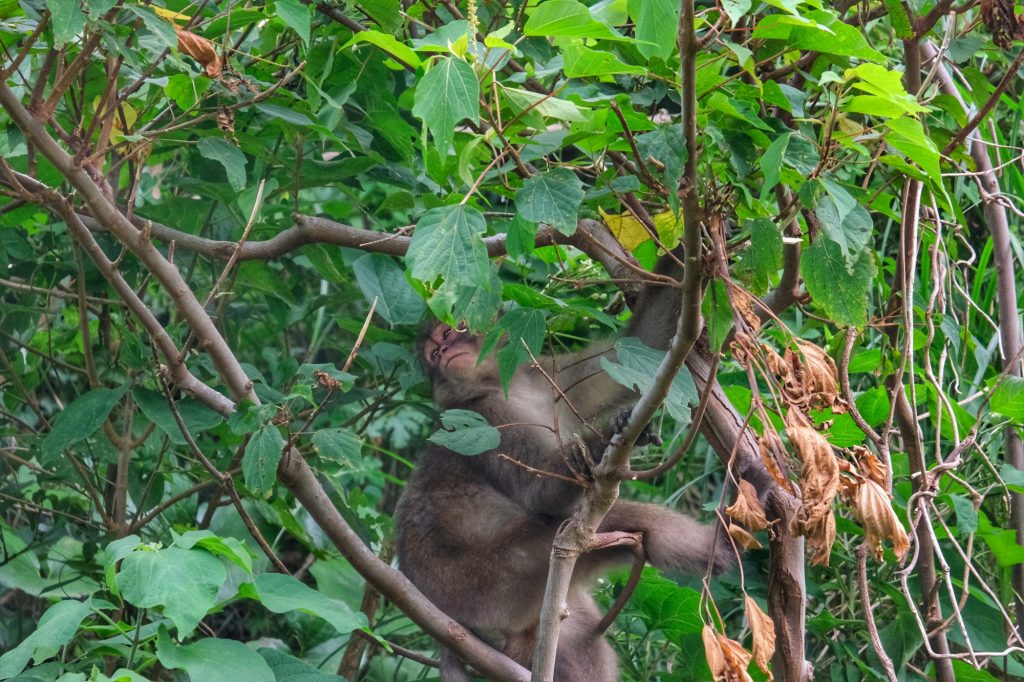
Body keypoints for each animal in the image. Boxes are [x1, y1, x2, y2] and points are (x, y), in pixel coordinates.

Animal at [394, 320, 735, 681]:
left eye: (449, 333)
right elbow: (542, 491)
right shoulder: (485, 418)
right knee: (586, 527)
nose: (444, 352)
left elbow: (636, 346)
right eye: (433, 354)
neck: (501, 387)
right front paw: (611, 437)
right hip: (493, 585)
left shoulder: (547, 379)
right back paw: (723, 546)